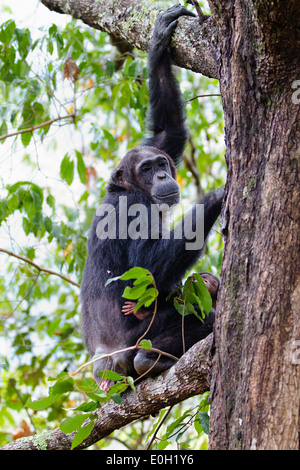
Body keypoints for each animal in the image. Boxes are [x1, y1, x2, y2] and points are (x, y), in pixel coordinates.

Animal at [81, 4, 224, 386]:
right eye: (145, 170)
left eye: (159, 163)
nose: (161, 174)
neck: (130, 188)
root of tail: (102, 366)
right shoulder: (134, 208)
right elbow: (146, 266)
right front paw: (219, 195)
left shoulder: (160, 144)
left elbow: (168, 131)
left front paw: (159, 42)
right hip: (130, 345)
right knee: (197, 301)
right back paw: (150, 358)